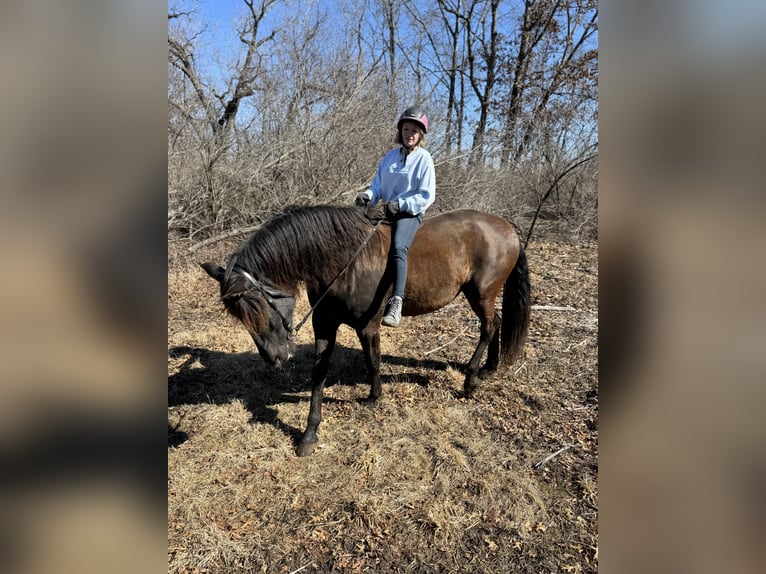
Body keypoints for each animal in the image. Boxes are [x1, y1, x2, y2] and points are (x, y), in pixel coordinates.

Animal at [201, 205, 530, 456]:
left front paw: (374, 397)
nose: (274, 358)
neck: (344, 261)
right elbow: (318, 374)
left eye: (258, 309)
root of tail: (506, 226)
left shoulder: (368, 326)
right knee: (496, 323)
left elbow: (373, 361)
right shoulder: (324, 325)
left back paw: (471, 379)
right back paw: (489, 367)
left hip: (482, 292)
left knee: (488, 327)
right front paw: (309, 433)